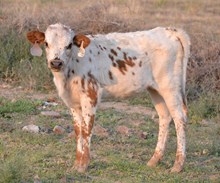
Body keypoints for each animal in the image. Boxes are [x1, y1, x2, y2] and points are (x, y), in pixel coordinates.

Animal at [26, 23, 190, 172]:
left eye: (69, 45)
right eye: (46, 43)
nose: (56, 62)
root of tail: (169, 30)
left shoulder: (90, 96)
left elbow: (86, 129)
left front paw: (83, 165)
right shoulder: (73, 103)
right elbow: (78, 131)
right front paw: (77, 164)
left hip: (170, 86)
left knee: (179, 118)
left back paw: (178, 165)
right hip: (155, 89)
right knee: (164, 117)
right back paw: (154, 160)